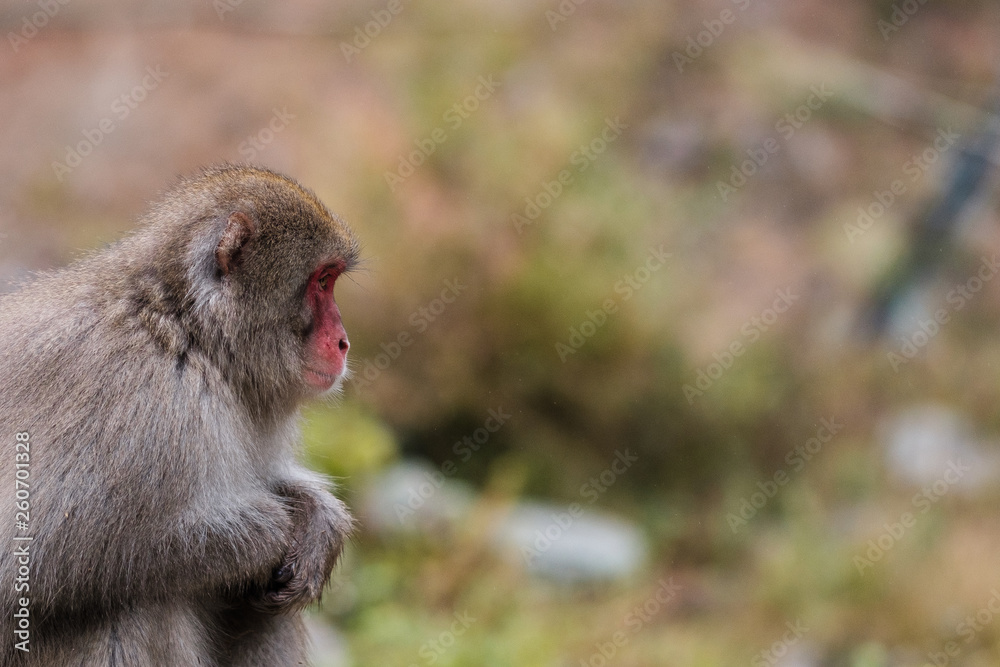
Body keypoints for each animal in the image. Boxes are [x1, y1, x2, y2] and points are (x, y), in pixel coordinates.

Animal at [0, 165, 359, 665]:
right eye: (322, 281)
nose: (344, 342)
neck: (187, 330)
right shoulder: (137, 393)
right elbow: (30, 559)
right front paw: (267, 533)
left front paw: (317, 519)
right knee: (133, 600)